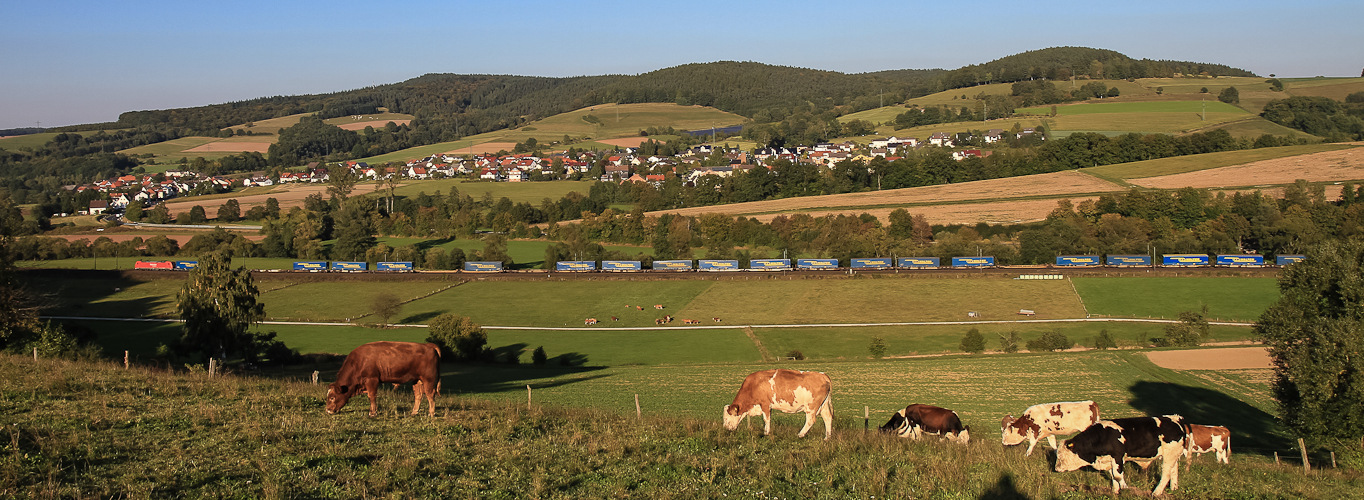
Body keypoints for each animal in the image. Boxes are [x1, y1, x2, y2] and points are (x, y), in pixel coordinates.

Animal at [1053, 414, 1183, 498]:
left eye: (1061, 456)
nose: (1056, 469)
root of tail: (1175, 418)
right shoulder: (1108, 460)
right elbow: (1113, 476)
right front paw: (1115, 491)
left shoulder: (1118, 457)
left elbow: (1118, 475)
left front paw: (1125, 488)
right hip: (1173, 456)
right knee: (1174, 471)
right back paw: (1174, 488)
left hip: (1169, 455)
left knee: (1166, 473)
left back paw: (1156, 493)